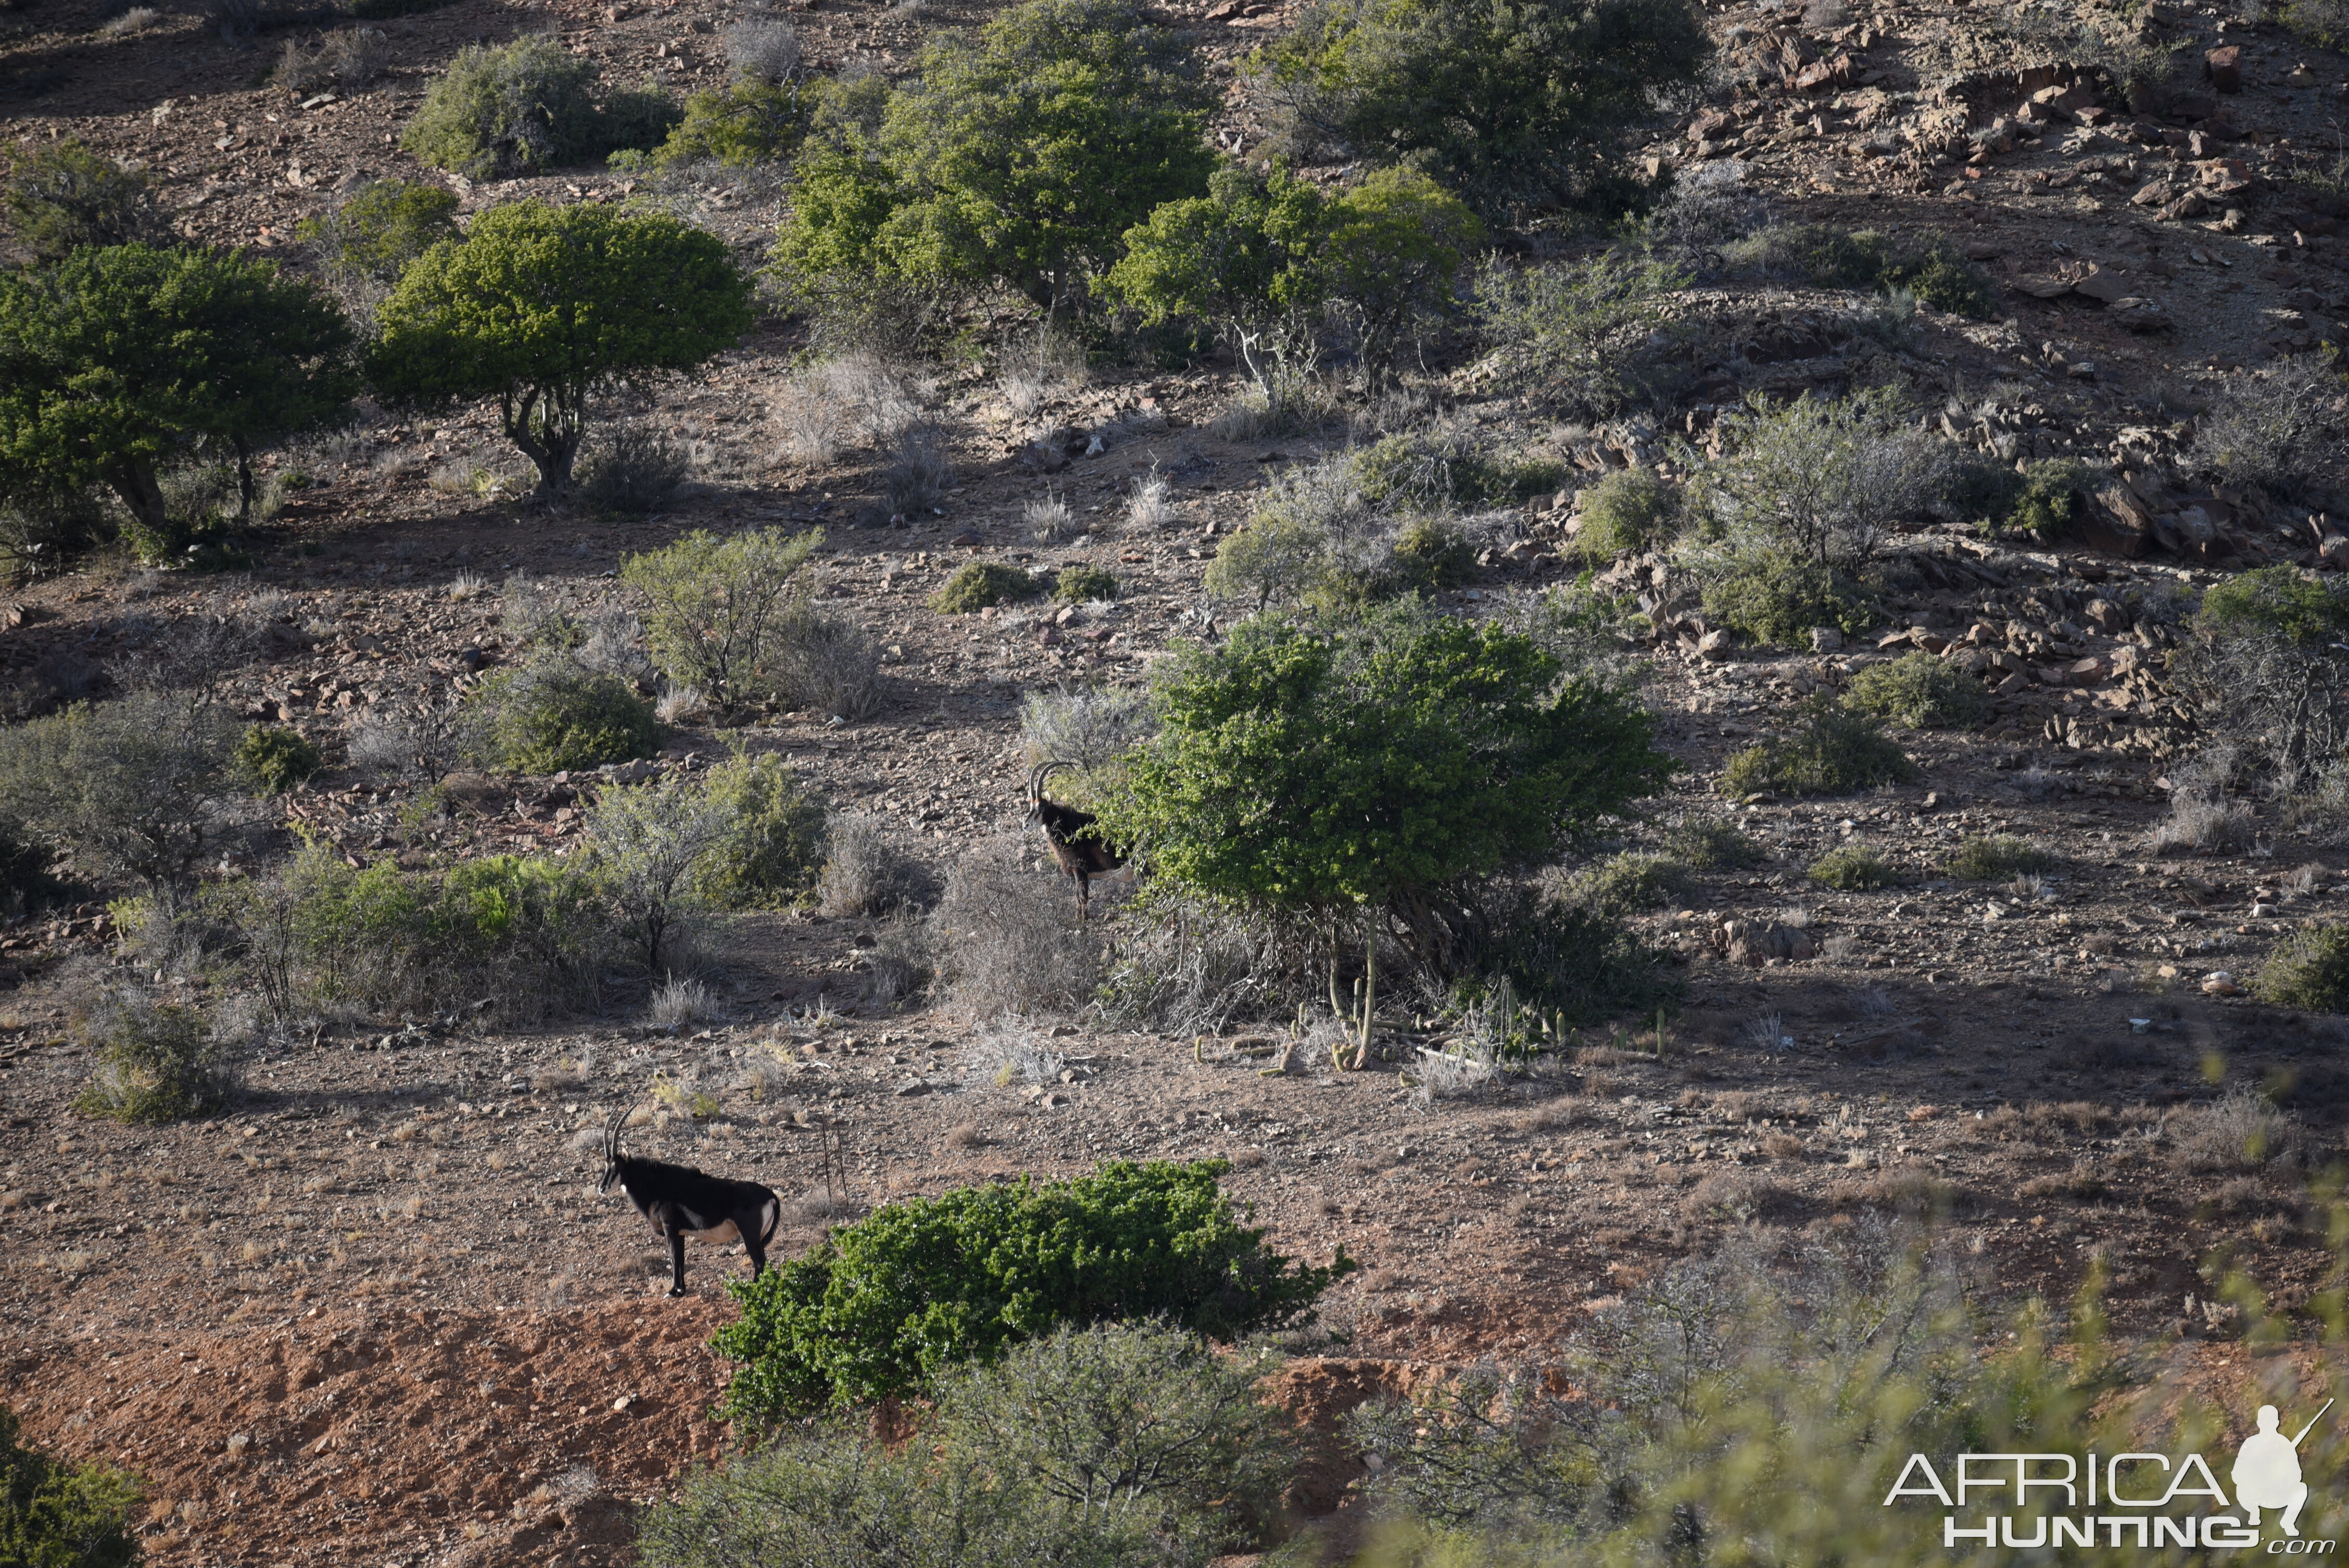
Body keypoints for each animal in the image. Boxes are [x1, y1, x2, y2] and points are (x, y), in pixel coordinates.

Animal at [601, 1098, 785, 1295]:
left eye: (616, 1167)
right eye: (606, 1166)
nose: (602, 1188)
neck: (657, 1185)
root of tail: (772, 1197)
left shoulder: (670, 1228)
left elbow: (674, 1258)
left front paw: (673, 1291)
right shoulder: (680, 1232)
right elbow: (681, 1258)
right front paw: (681, 1290)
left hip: (750, 1235)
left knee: (759, 1262)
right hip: (759, 1238)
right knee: (763, 1261)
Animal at [1029, 760, 1127, 920]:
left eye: (1041, 806)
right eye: (1031, 805)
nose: (1026, 824)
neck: (1070, 829)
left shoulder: (1080, 870)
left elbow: (1083, 897)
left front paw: (1084, 922)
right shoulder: (1076, 873)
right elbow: (1077, 897)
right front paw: (1077, 919)